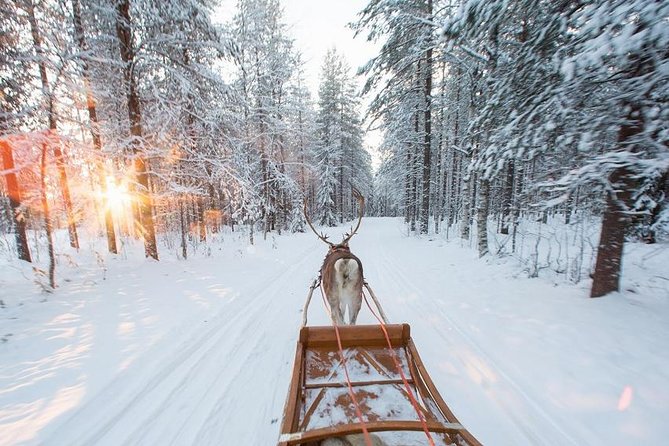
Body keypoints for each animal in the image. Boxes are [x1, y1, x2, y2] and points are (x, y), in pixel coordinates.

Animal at [305, 190, 365, 326]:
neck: (339, 248)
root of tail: (346, 263)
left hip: (333, 297)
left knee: (338, 320)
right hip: (356, 297)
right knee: (351, 323)